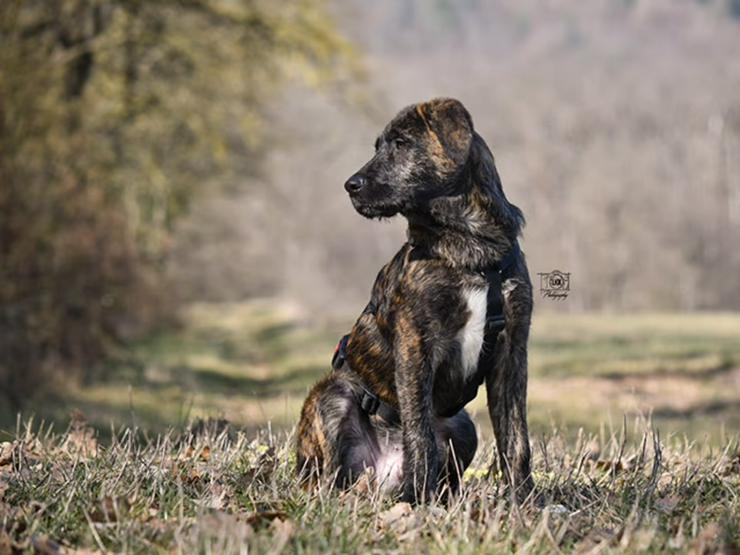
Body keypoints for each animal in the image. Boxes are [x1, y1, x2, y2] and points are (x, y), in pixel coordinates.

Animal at [298, 96, 536, 504]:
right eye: (378, 145)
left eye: (401, 143)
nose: (350, 185)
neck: (468, 243)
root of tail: (380, 476)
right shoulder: (416, 343)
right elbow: (419, 433)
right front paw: (417, 501)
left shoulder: (512, 348)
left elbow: (516, 439)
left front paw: (526, 502)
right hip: (332, 396)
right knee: (328, 475)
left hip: (462, 425)